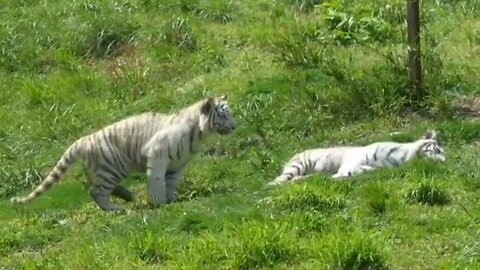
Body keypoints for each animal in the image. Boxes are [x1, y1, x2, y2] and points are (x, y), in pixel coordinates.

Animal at [10, 95, 237, 211]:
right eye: (224, 115)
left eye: (231, 114)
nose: (235, 126)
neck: (199, 133)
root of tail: (83, 140)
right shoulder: (157, 155)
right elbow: (157, 182)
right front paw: (159, 202)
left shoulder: (177, 165)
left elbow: (171, 183)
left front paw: (172, 199)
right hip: (113, 167)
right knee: (96, 191)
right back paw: (116, 208)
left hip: (106, 169)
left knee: (93, 185)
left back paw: (128, 196)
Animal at [266, 130, 446, 186]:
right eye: (437, 150)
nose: (444, 162)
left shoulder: (372, 169)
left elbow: (352, 173)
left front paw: (337, 177)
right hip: (298, 165)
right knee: (280, 179)